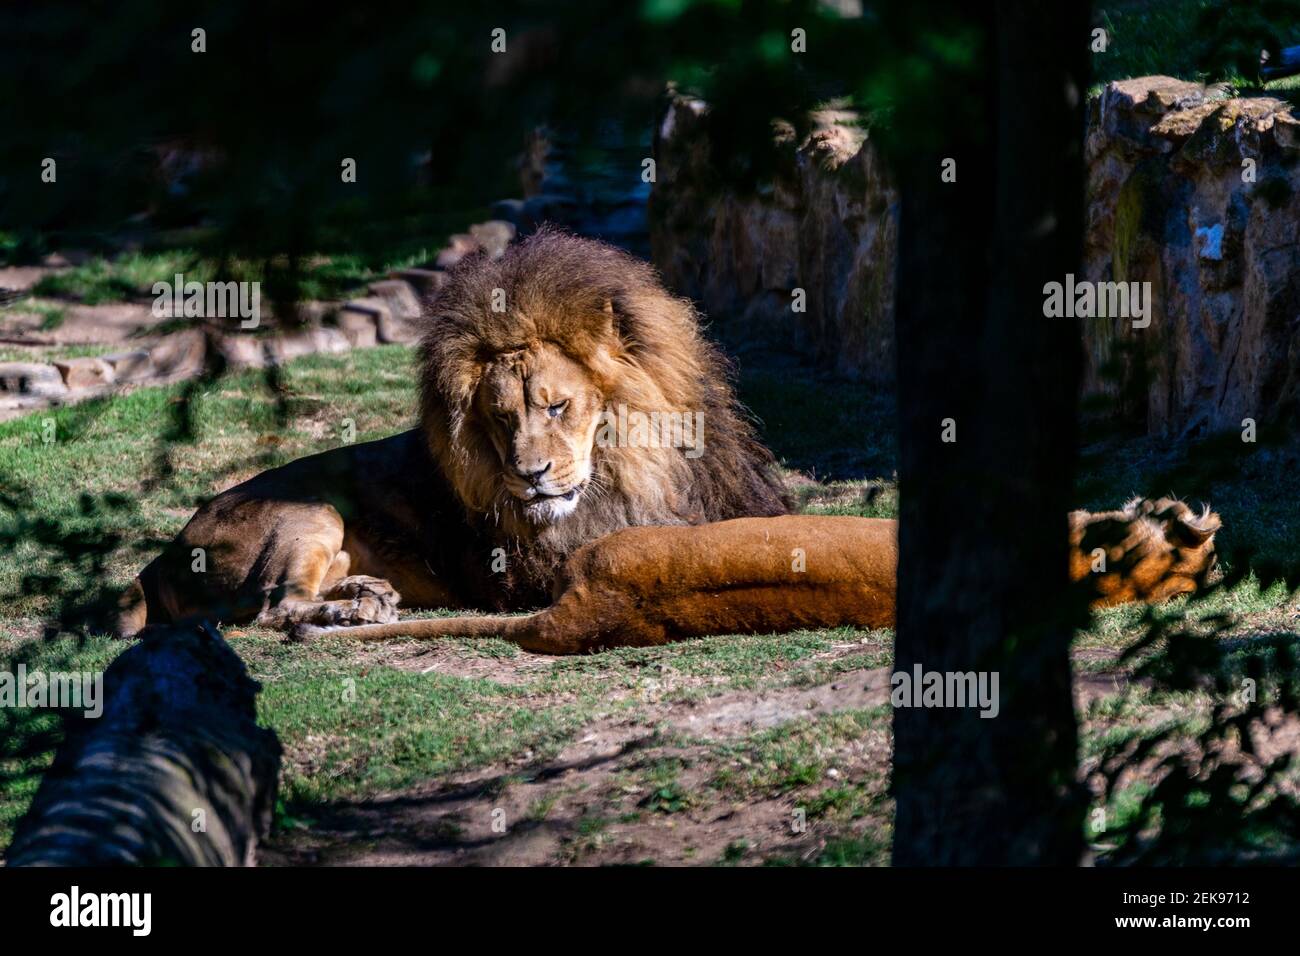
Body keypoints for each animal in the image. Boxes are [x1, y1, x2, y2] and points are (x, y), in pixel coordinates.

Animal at [114, 228, 788, 637]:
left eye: (557, 407)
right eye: (502, 418)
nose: (530, 476)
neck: (632, 462)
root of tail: (159, 559)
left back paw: (370, 594)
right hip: (309, 508)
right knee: (272, 606)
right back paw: (349, 610)